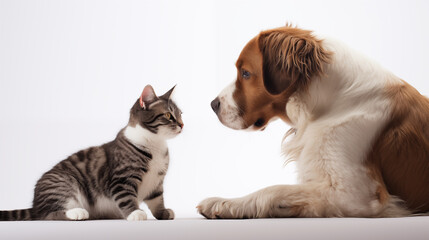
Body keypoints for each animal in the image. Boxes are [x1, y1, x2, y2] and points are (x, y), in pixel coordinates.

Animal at [0, 85, 182, 221]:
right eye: (168, 115)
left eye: (180, 114)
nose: (182, 124)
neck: (155, 144)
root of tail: (35, 205)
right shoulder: (121, 179)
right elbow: (126, 197)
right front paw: (135, 212)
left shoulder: (156, 182)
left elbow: (157, 199)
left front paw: (163, 213)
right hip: (62, 183)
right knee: (49, 214)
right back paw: (76, 212)